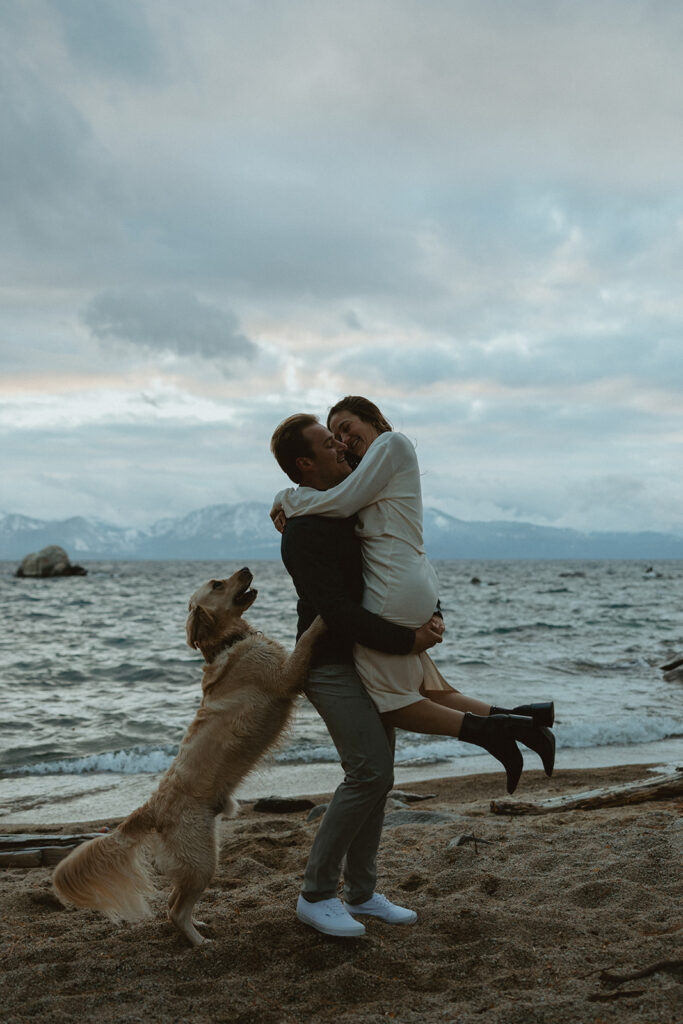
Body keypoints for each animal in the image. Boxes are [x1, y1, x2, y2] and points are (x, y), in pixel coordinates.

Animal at [52, 569, 325, 942]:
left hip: (203, 854)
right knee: (174, 911)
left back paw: (199, 926)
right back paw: (200, 942)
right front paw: (324, 618)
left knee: (173, 903)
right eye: (217, 585)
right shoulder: (285, 676)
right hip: (202, 860)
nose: (246, 570)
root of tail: (152, 807)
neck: (227, 644)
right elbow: (308, 639)